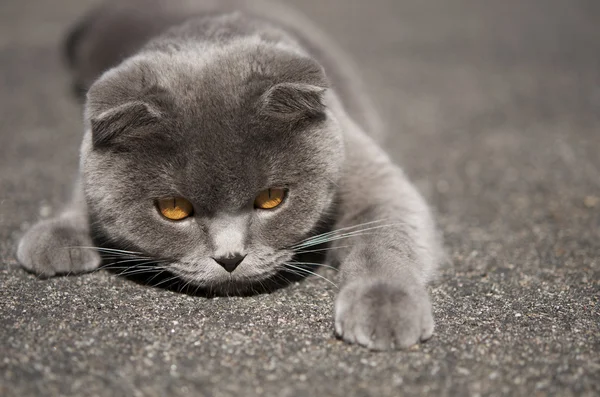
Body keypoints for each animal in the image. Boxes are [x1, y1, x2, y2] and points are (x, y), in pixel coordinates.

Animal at [16, 0, 442, 350]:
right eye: (173, 208)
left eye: (272, 198)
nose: (230, 258)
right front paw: (59, 232)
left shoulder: (368, 173)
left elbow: (383, 236)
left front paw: (384, 301)